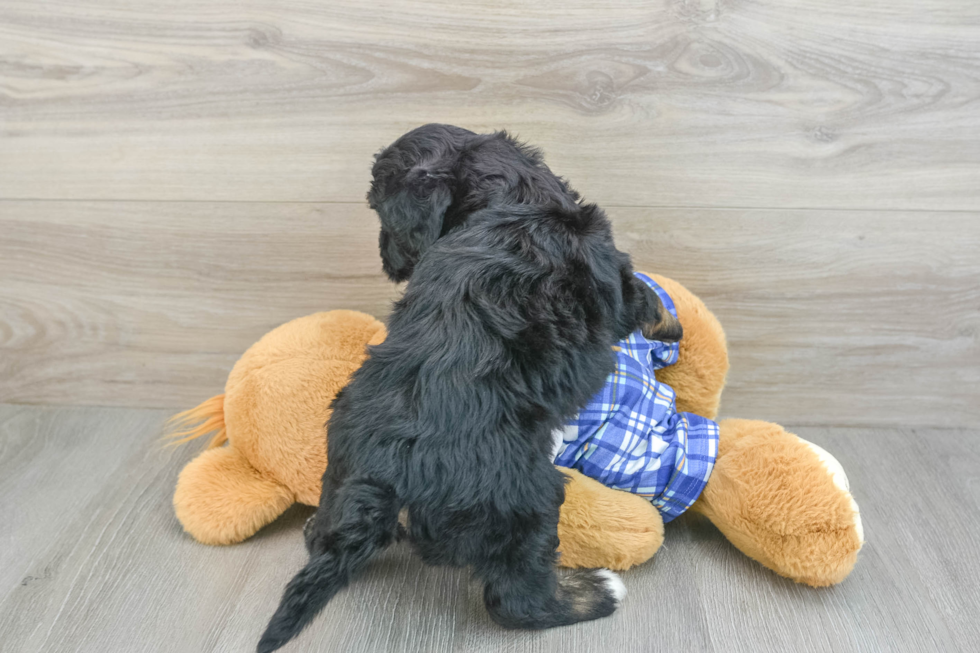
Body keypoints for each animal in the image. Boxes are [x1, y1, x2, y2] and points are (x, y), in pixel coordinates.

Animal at [256, 125, 676, 648]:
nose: (387, 260)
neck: (514, 195)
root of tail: (385, 470)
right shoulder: (616, 279)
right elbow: (646, 296)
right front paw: (672, 325)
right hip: (525, 503)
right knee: (516, 601)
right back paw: (595, 592)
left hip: (340, 459)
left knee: (330, 530)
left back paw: (319, 526)